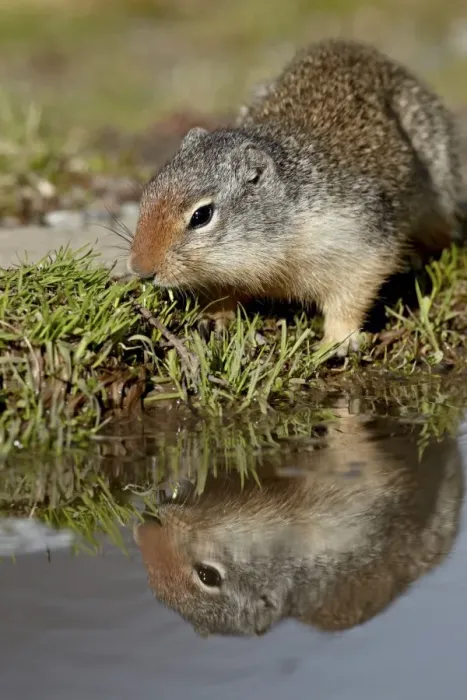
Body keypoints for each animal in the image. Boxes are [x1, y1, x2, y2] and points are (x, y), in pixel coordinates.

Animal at [128, 38, 465, 354]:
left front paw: (337, 342)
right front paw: (213, 319)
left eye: (201, 215)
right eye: (148, 191)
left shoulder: (360, 242)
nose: (140, 269)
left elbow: (350, 297)